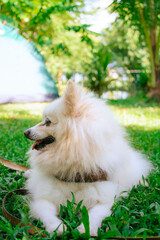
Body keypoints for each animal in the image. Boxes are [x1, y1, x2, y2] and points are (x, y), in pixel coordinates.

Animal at [24, 81, 152, 235]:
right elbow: (48, 215)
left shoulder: (103, 200)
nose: (26, 132)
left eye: (48, 122)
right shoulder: (44, 199)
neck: (74, 172)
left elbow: (94, 216)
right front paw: (57, 228)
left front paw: (87, 229)